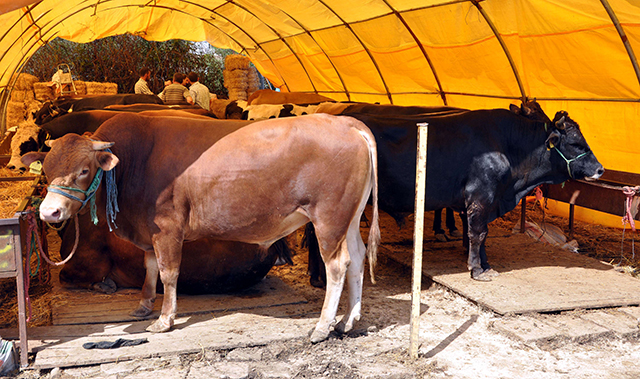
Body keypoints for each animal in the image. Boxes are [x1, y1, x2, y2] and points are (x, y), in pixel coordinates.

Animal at [25, 113, 378, 344]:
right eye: (46, 168)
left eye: (84, 169)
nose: (49, 212)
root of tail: (346, 122)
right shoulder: (148, 231)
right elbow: (150, 267)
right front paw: (143, 306)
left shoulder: (167, 227)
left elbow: (168, 272)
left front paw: (164, 319)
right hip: (349, 218)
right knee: (358, 259)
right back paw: (348, 321)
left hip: (329, 217)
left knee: (338, 264)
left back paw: (322, 327)